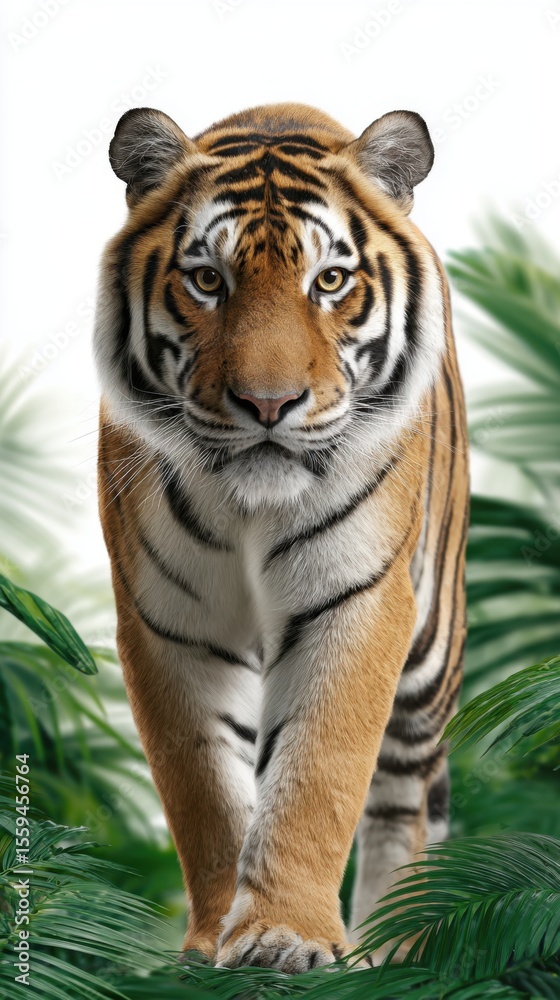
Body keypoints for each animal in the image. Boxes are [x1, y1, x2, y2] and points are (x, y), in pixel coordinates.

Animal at [94, 101, 469, 972]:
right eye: (208, 280)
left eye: (329, 281)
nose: (269, 405)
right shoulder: (168, 623)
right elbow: (201, 783)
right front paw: (217, 934)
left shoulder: (357, 599)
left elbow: (319, 769)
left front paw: (284, 934)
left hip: (432, 649)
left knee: (402, 797)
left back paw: (391, 946)